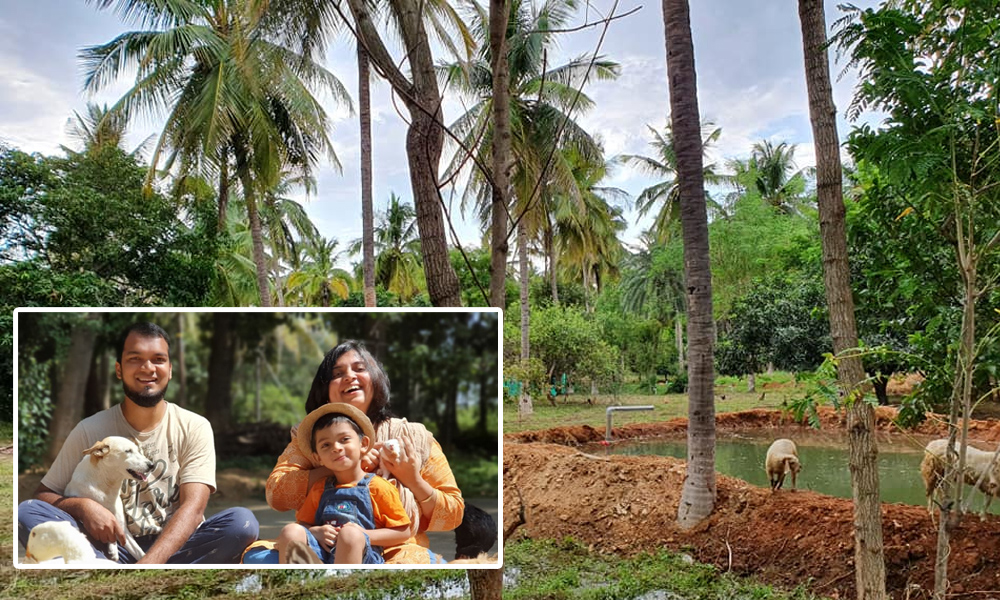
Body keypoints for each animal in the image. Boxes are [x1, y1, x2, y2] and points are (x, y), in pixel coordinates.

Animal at [62, 436, 157, 564]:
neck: (107, 488)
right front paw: (113, 549)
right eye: (128, 451)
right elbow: (108, 530)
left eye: (138, 450)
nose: (152, 465)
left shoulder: (123, 528)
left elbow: (140, 552)